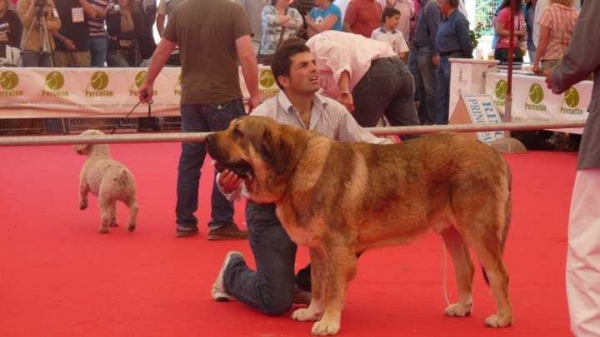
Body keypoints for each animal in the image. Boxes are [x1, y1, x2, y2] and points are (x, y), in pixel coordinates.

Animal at [205, 115, 510, 334]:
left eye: (238, 133)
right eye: (229, 127)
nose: (206, 137)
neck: (295, 167)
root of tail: (494, 154)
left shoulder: (336, 246)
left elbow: (333, 287)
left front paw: (328, 322)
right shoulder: (318, 249)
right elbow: (319, 284)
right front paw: (313, 312)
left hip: (478, 229)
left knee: (498, 274)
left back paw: (503, 318)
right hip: (451, 231)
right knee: (466, 268)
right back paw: (462, 307)